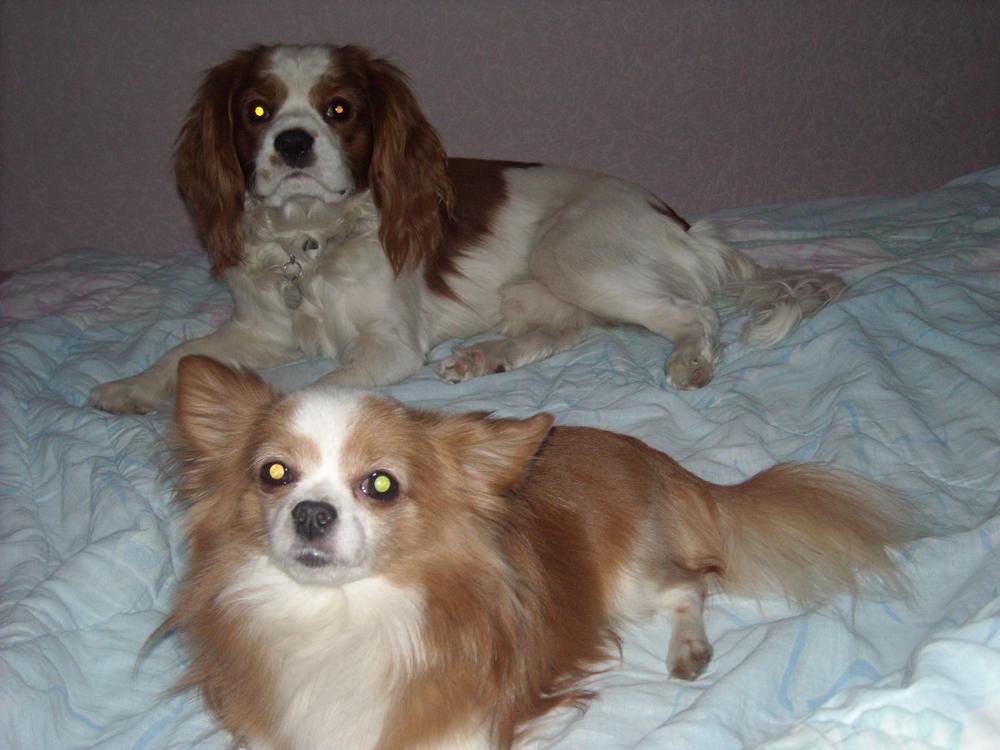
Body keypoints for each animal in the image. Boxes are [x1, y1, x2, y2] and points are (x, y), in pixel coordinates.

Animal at [89, 43, 845, 414]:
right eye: (255, 110)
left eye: (339, 108)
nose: (294, 144)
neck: (312, 237)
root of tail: (686, 226)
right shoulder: (260, 331)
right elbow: (183, 355)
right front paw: (131, 389)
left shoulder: (389, 346)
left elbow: (313, 387)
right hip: (538, 289)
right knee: (565, 332)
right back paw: (489, 357)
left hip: (574, 252)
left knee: (695, 314)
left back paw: (691, 359)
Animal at [161, 354, 916, 750]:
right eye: (274, 474)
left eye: (380, 485)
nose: (311, 513)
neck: (341, 616)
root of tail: (640, 451)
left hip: (631, 578)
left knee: (689, 586)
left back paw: (689, 647)